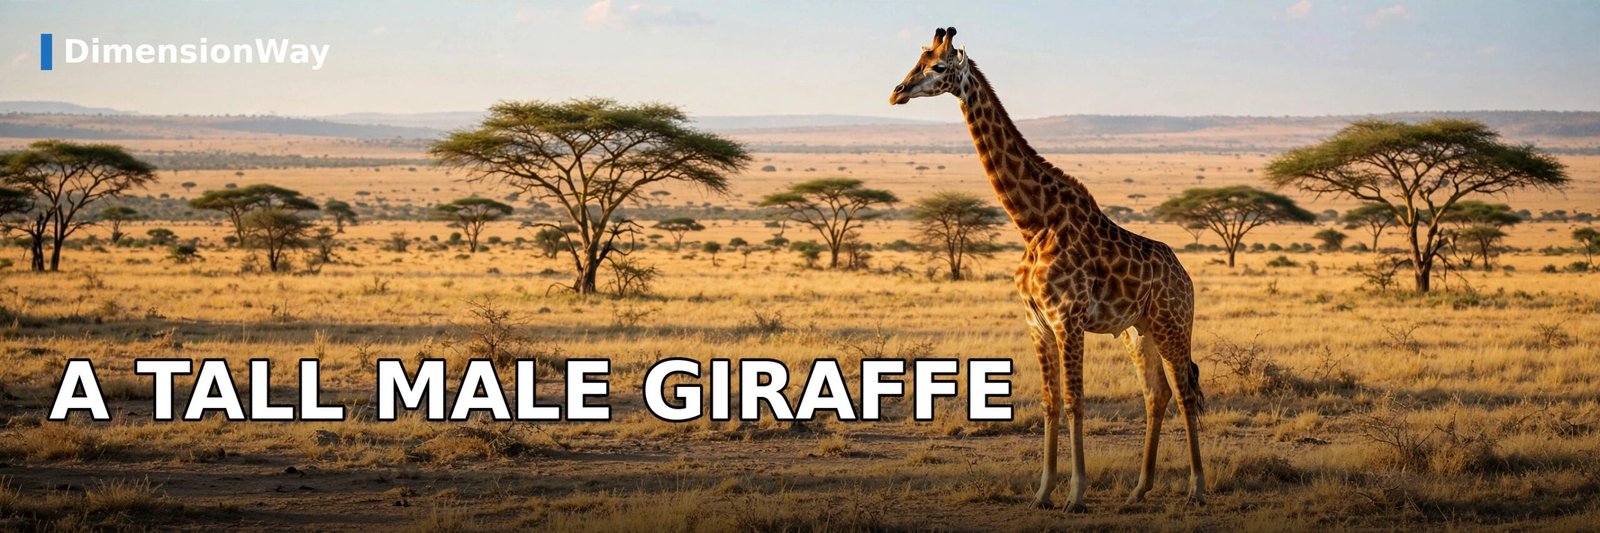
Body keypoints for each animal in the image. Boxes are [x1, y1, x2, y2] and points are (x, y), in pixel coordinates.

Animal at [890, 27, 1206, 510]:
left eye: (938, 66)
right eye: (916, 60)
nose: (898, 91)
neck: (1033, 222)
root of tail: (1185, 277)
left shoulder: (1067, 319)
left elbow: (1075, 400)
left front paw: (1076, 494)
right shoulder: (1036, 321)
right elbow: (1049, 401)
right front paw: (1042, 492)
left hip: (1173, 323)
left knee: (1186, 391)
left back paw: (1197, 488)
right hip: (1139, 330)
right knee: (1158, 393)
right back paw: (1138, 489)